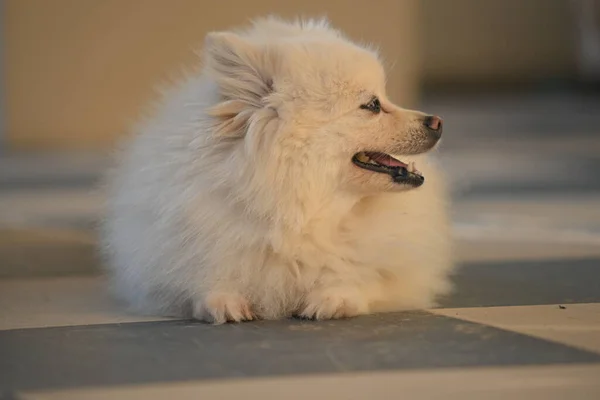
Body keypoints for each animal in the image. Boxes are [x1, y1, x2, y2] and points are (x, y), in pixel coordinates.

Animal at [99, 17, 454, 324]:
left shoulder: (399, 272)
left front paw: (334, 296)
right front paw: (222, 300)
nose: (437, 121)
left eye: (384, 97)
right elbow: (198, 283)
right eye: (372, 105)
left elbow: (365, 277)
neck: (299, 210)